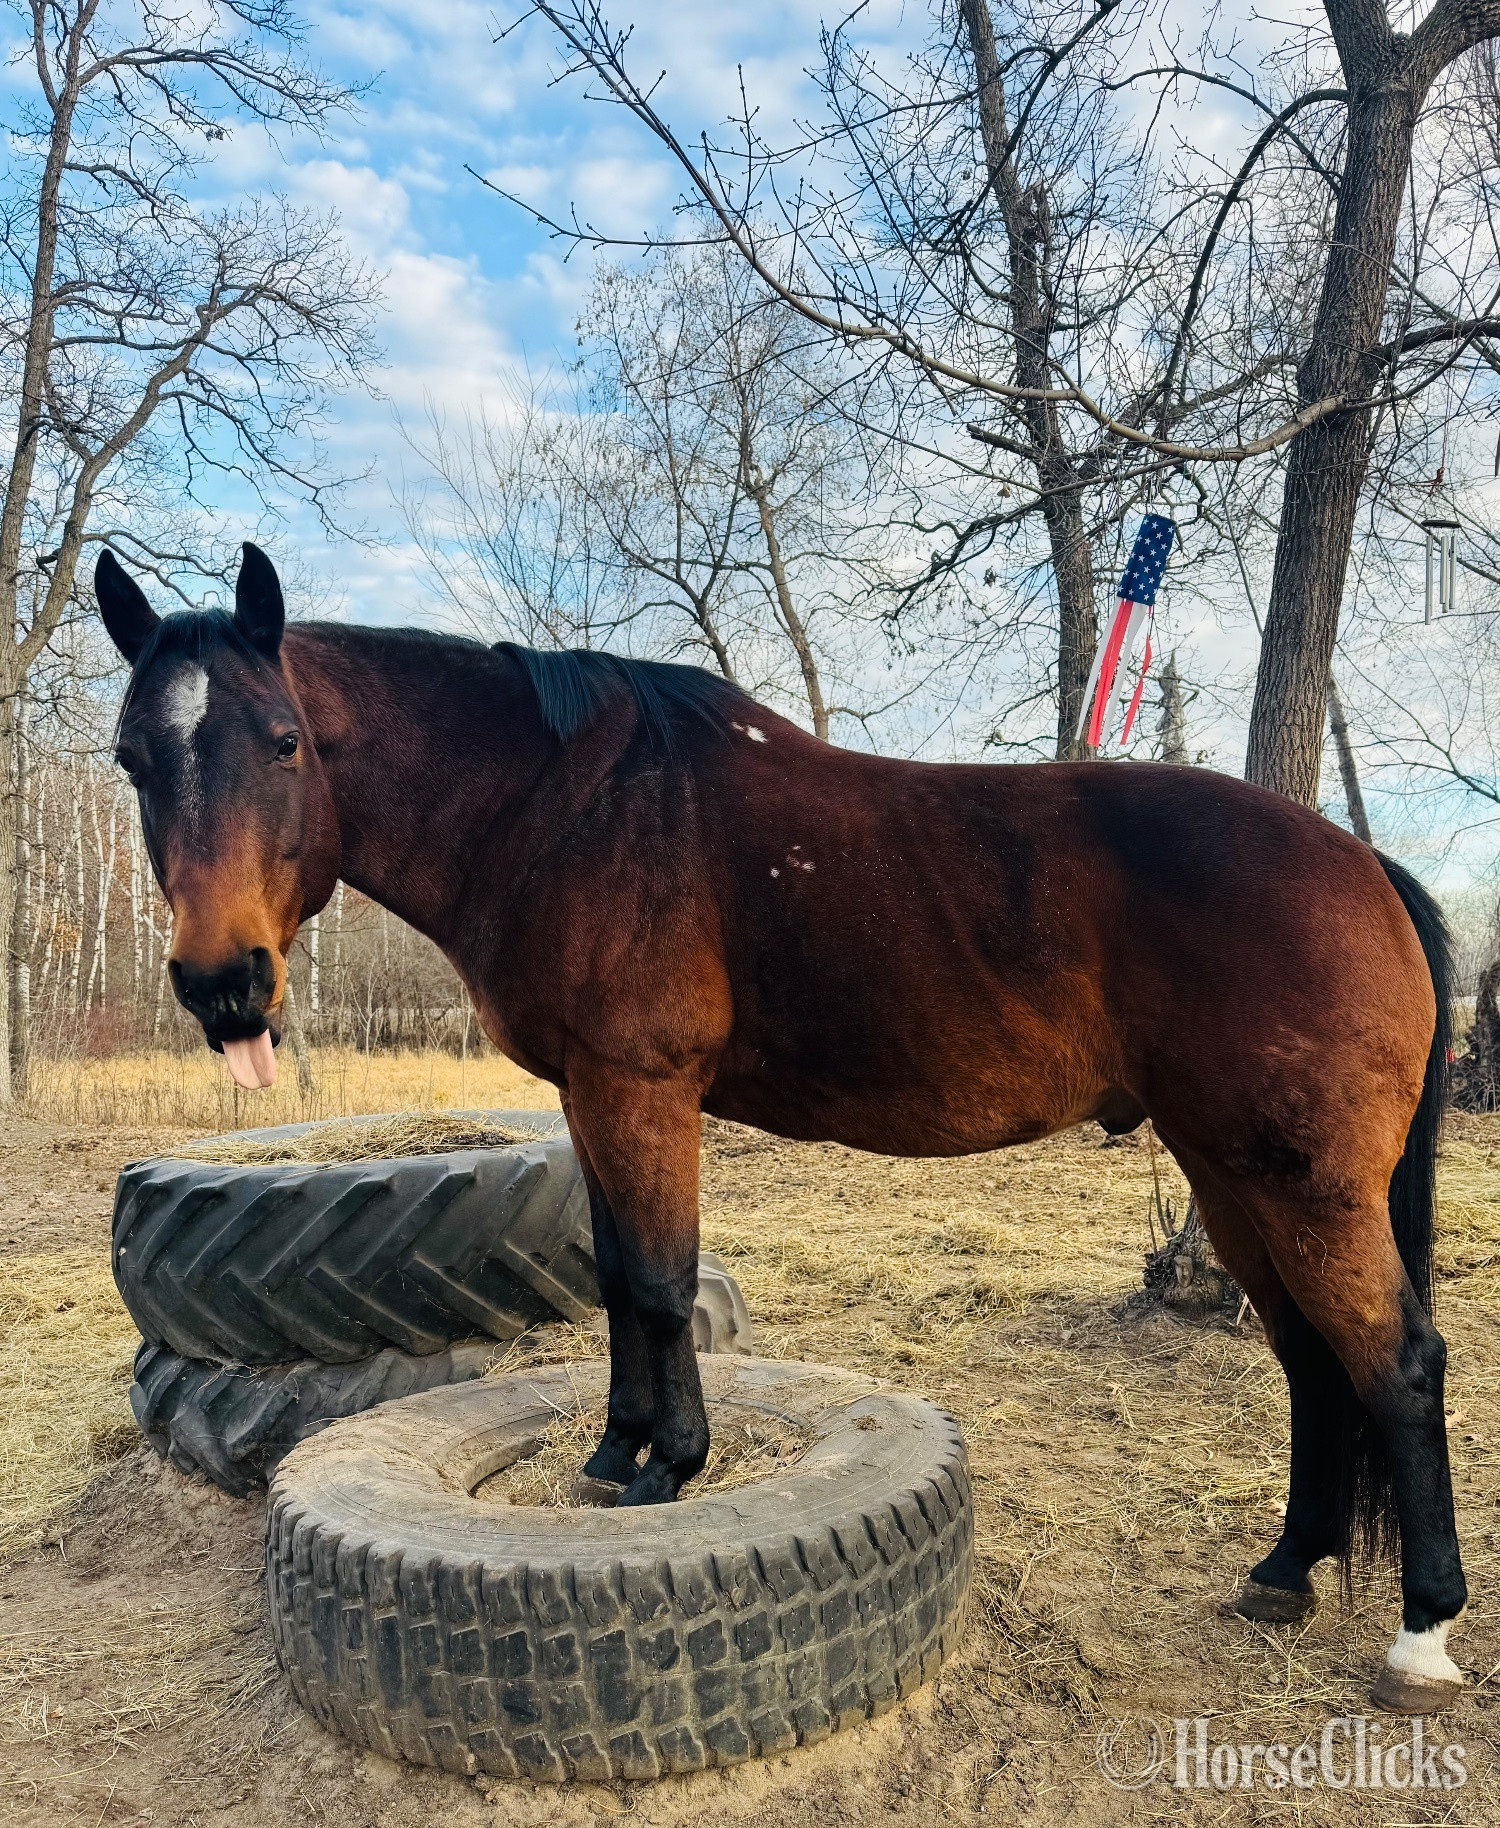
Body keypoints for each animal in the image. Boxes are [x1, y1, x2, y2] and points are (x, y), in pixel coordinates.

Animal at [95, 540, 1467, 1713]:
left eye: (283, 740)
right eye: (130, 759)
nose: (224, 986)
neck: (561, 804)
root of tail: (1362, 864)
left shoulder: (641, 1088)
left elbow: (660, 1281)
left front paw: (670, 1467)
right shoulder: (588, 1096)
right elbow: (614, 1278)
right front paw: (612, 1455)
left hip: (1305, 1182)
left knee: (1395, 1361)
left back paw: (1422, 1632)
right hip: (1234, 1175)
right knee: (1310, 1359)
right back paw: (1283, 1572)